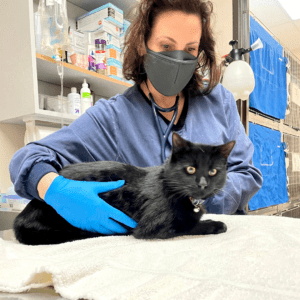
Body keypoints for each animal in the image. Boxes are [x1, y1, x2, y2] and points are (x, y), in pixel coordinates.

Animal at [13, 132, 234, 245]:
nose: (203, 184)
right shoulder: (154, 227)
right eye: (190, 169)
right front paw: (215, 224)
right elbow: (189, 225)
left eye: (213, 171)